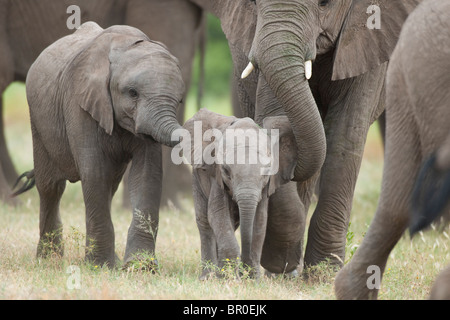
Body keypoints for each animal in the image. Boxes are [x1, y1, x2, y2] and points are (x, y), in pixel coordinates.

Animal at [19, 21, 185, 268]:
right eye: (132, 93)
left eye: (180, 99)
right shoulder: (80, 102)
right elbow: (95, 172)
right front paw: (100, 266)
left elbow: (147, 175)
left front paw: (140, 267)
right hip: (37, 121)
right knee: (51, 187)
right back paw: (48, 259)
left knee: (110, 186)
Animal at [178, 109, 308, 278]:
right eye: (226, 170)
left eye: (267, 172)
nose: (243, 271)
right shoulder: (216, 177)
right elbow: (217, 213)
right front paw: (226, 277)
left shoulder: (264, 188)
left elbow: (260, 220)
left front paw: (253, 279)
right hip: (197, 177)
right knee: (205, 221)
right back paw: (208, 276)